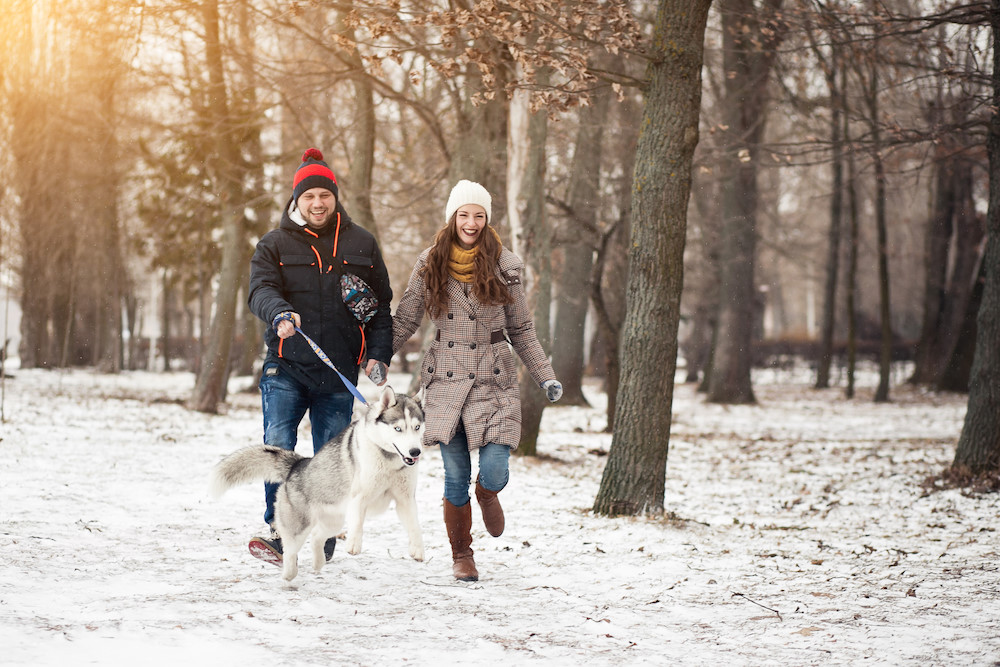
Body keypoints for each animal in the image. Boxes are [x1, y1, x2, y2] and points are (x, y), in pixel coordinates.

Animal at [213, 388, 424, 580]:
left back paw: (318, 562)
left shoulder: (405, 499)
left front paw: (418, 550)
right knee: (291, 549)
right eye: (398, 428)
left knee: (316, 537)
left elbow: (414, 525)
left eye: (417, 427)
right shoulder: (359, 496)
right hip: (299, 524)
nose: (415, 452)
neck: (390, 460)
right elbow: (357, 523)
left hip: (334, 521)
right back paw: (288, 574)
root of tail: (298, 465)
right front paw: (354, 545)